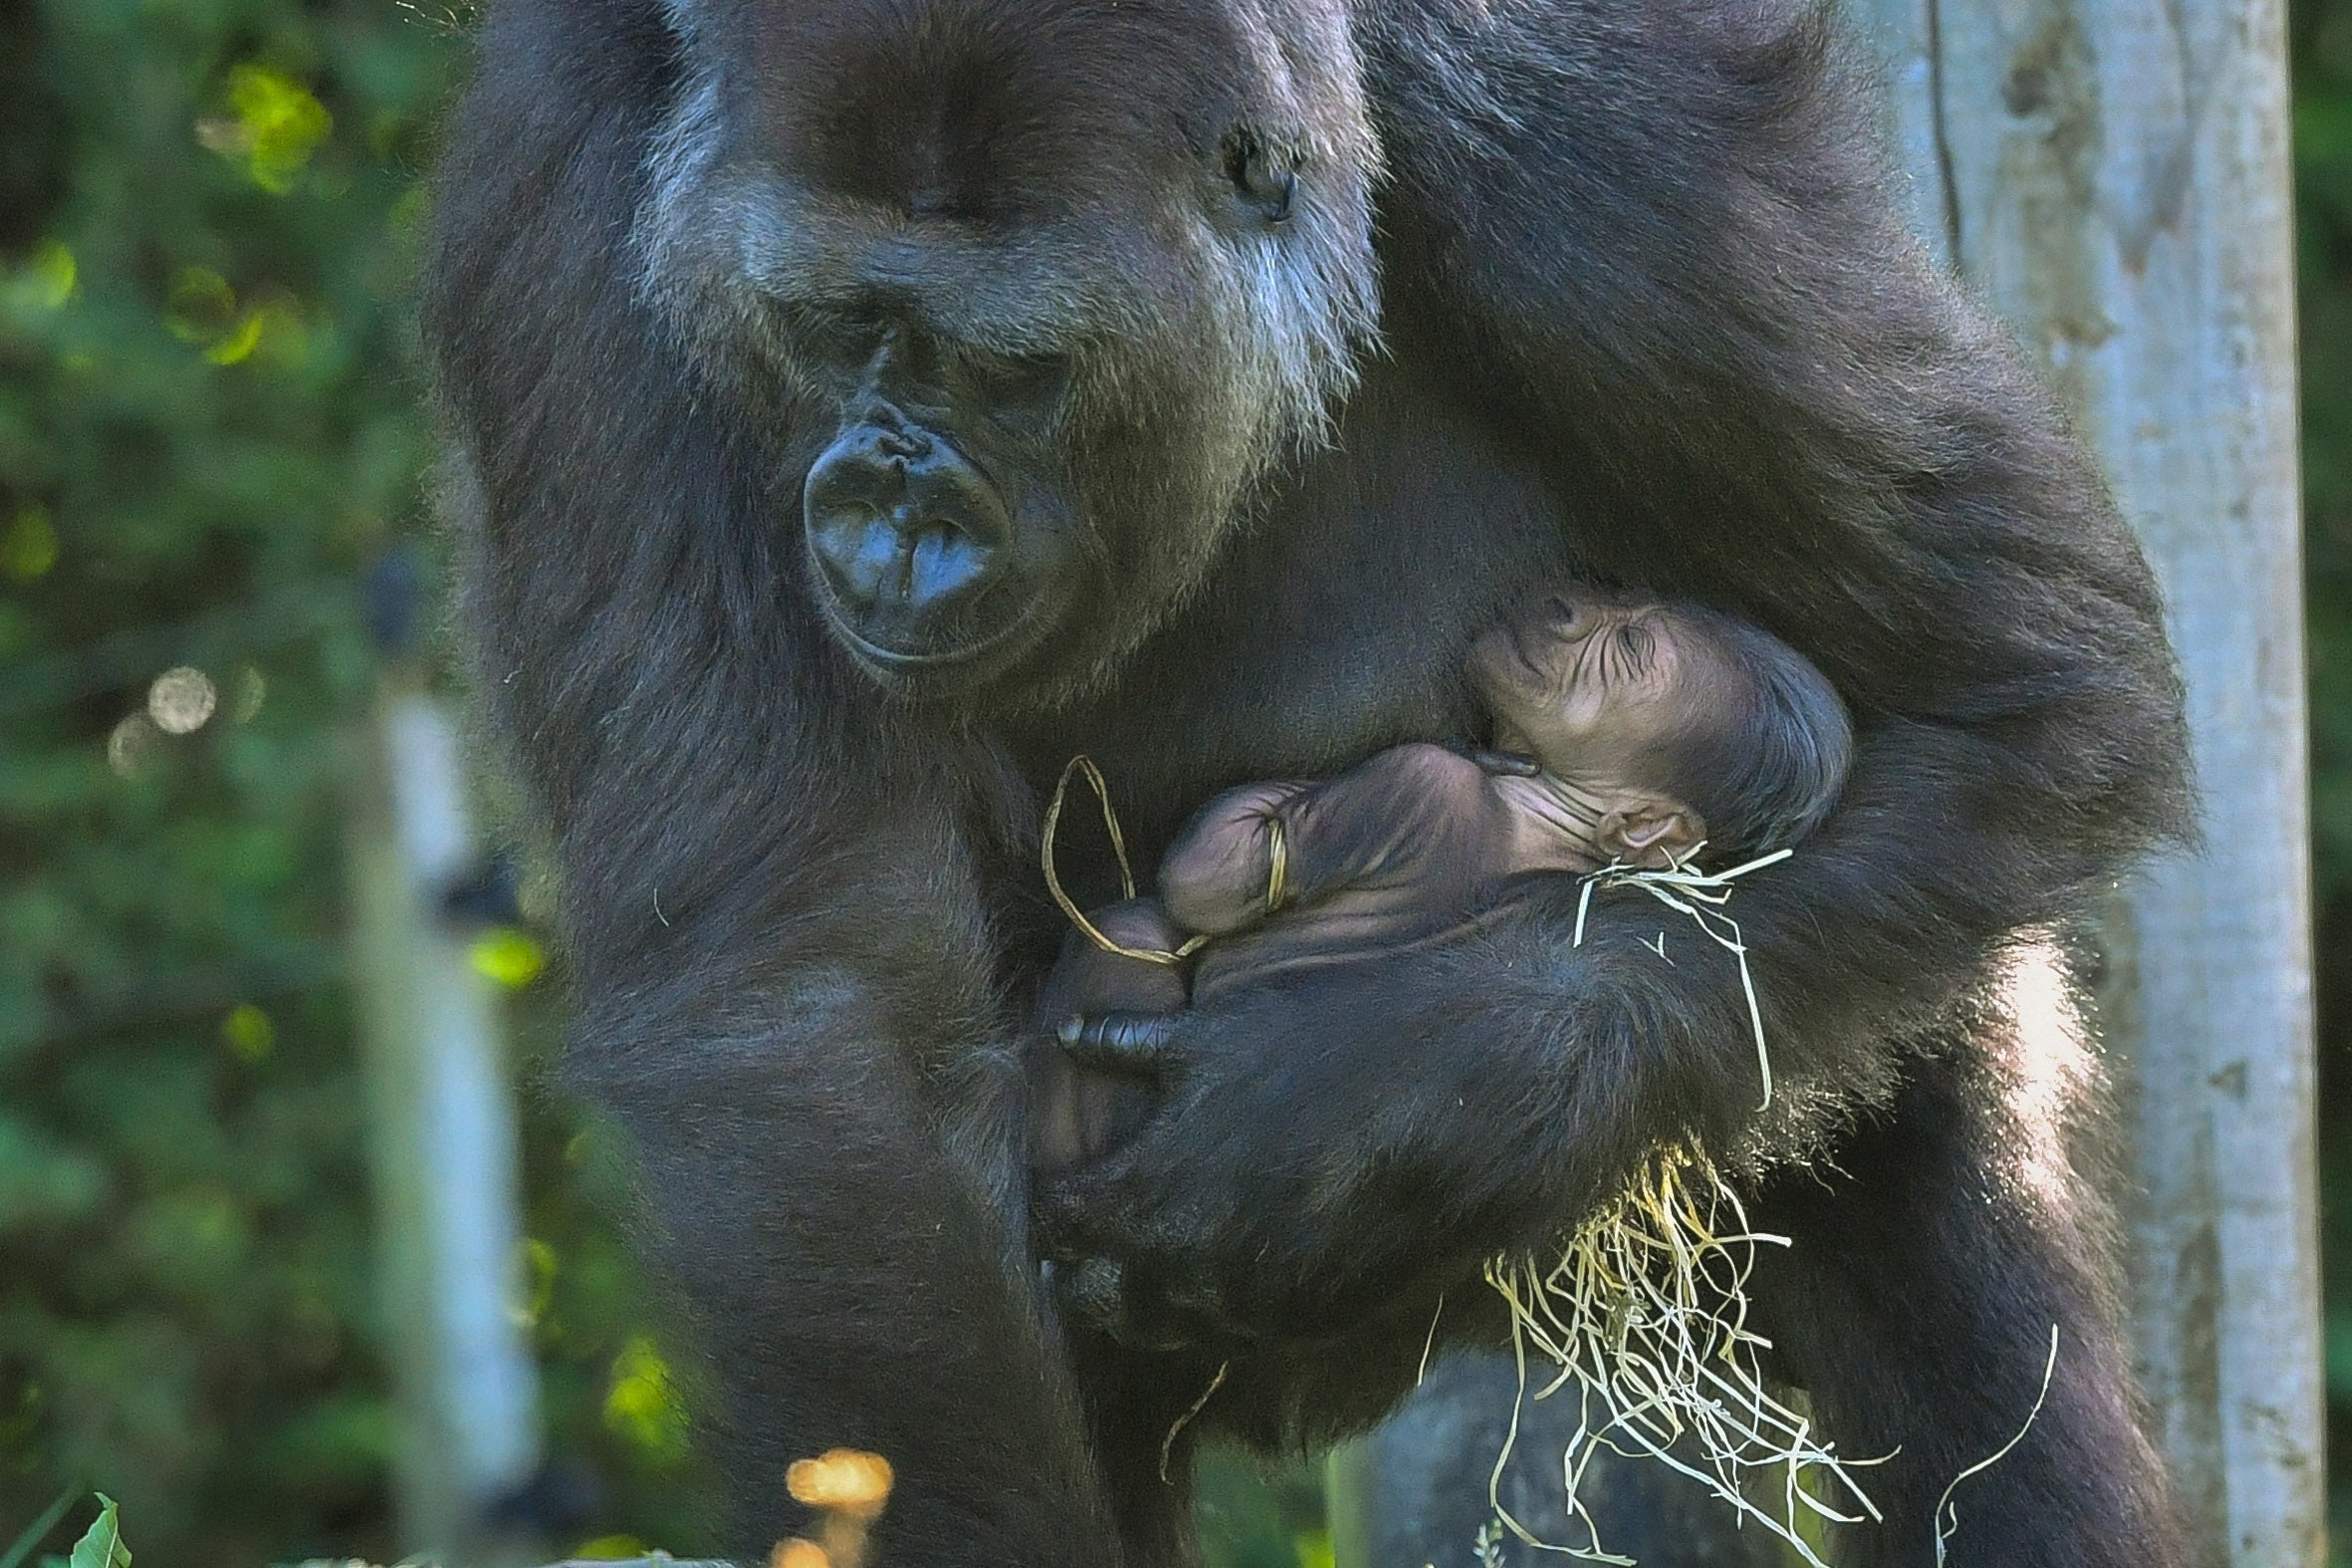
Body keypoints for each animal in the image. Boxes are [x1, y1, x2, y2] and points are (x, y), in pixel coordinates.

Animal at [1030, 595, 1853, 1171]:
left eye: (1627, 646)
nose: (1567, 608)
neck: (1560, 820)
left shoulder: (1414, 782)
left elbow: (1217, 878)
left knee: (1130, 931)